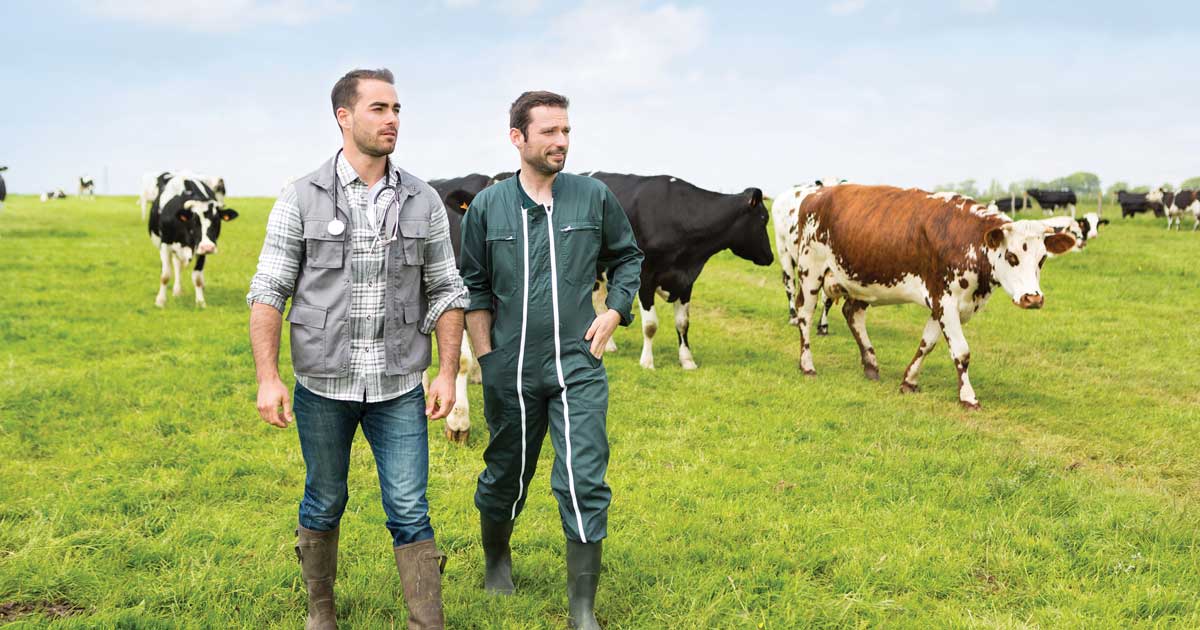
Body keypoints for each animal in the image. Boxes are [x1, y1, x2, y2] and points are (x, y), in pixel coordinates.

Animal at [147, 171, 236, 309]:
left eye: (217, 220)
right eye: (194, 220)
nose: (208, 247)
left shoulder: (200, 249)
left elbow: (197, 277)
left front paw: (200, 302)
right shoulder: (165, 244)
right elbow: (165, 275)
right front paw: (160, 301)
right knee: (176, 266)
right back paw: (177, 291)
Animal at [585, 169, 772, 372]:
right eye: (764, 219)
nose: (770, 257)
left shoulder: (686, 280)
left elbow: (683, 323)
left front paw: (687, 360)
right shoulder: (645, 278)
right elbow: (650, 325)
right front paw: (647, 362)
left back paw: (608, 345)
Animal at [787, 182, 1080, 408]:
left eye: (1042, 259)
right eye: (1011, 256)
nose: (1033, 298)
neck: (968, 239)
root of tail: (815, 194)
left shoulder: (947, 305)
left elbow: (927, 343)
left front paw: (909, 380)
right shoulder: (946, 300)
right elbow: (961, 352)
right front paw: (968, 397)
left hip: (862, 280)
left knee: (852, 313)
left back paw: (870, 364)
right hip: (810, 271)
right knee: (805, 315)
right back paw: (807, 365)